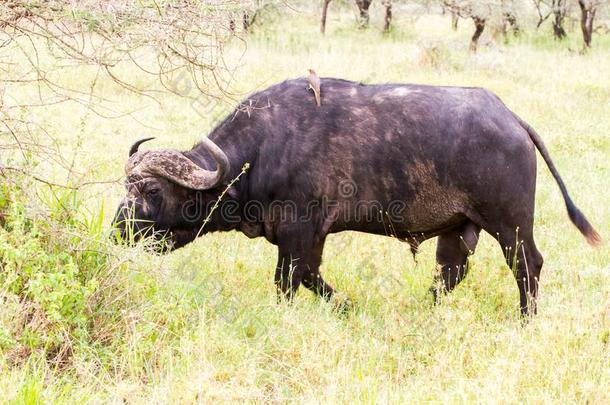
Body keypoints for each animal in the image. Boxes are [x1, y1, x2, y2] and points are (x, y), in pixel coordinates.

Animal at [111, 76, 600, 316]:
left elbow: (287, 281)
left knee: (528, 266)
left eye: (151, 189)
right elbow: (311, 277)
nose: (118, 232)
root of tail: (512, 120)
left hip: (510, 225)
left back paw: (526, 319)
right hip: (460, 230)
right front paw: (346, 306)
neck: (263, 147)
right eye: (126, 188)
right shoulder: (312, 236)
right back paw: (423, 311)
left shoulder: (297, 230)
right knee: (450, 273)